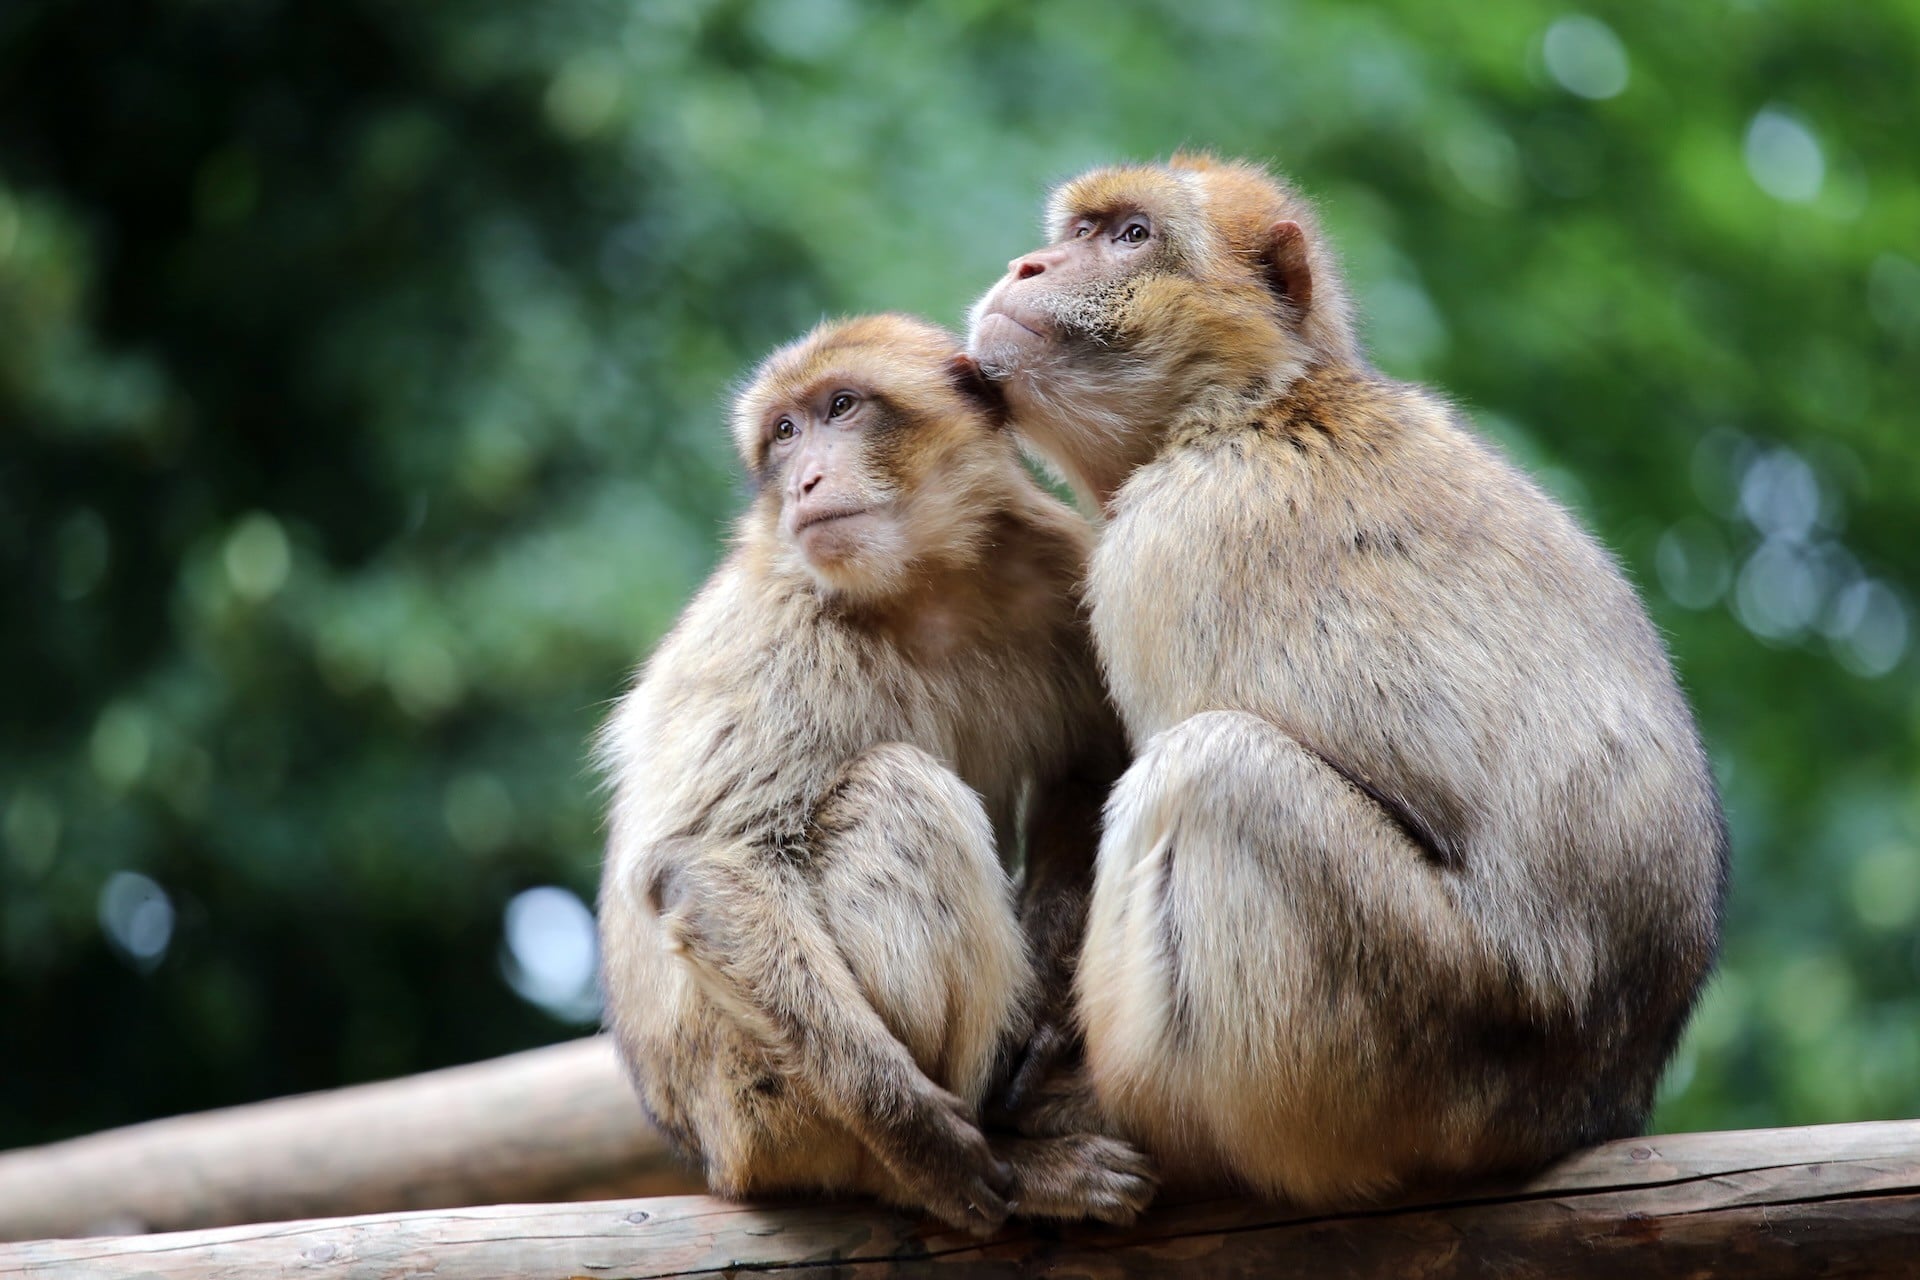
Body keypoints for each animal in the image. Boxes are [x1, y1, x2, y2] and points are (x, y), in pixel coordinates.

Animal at [595, 314, 1154, 1236]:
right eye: (785, 434)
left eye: (841, 408)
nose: (805, 479)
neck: (920, 583)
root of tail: (707, 1153)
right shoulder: (776, 630)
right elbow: (706, 865)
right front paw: (915, 1132)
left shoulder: (1058, 564)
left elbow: (1085, 774)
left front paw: (1041, 1011)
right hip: (761, 1102)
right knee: (898, 792)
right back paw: (954, 1166)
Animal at [965, 155, 1729, 1206]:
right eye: (1075, 232)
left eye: (1128, 237)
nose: (1027, 265)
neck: (1241, 406)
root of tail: (1592, 1101)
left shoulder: (1167, 545)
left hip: (1406, 1041)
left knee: (1214, 769)